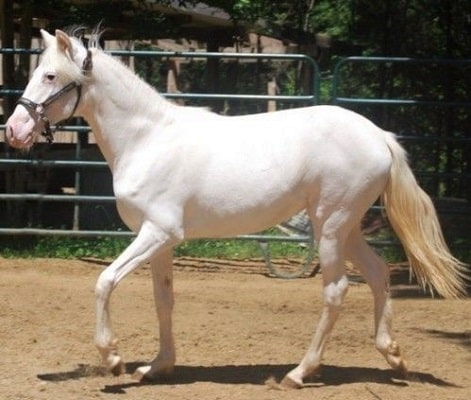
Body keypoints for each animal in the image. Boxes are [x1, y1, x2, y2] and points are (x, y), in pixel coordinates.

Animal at [4, 28, 468, 388]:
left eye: (49, 75)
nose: (14, 130)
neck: (147, 139)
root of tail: (379, 136)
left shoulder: (158, 232)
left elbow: (104, 282)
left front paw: (114, 359)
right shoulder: (160, 241)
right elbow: (163, 299)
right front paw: (157, 367)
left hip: (332, 227)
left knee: (336, 291)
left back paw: (299, 373)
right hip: (346, 228)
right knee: (377, 274)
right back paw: (393, 357)